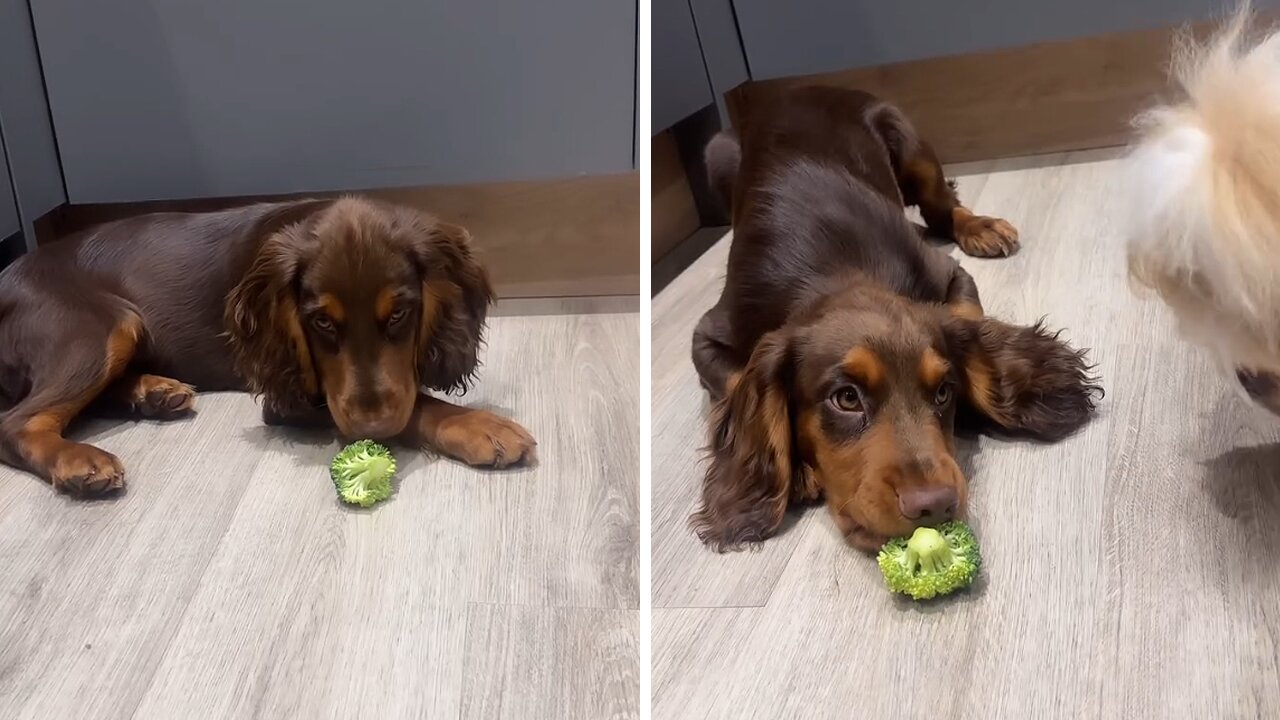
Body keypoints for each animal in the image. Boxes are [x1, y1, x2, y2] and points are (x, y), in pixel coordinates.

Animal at [0, 196, 535, 491]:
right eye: (321, 322)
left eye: (400, 314)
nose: (373, 429)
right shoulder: (290, 396)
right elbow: (419, 404)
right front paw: (479, 426)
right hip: (104, 325)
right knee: (16, 422)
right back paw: (79, 460)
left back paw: (154, 393)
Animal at [691, 88, 1100, 548]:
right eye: (846, 398)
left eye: (943, 392)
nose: (935, 505)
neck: (835, 270)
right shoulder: (708, 335)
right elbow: (735, 379)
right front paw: (796, 472)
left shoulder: (949, 273)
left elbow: (965, 317)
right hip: (716, 153)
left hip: (911, 144)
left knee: (942, 207)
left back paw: (981, 226)